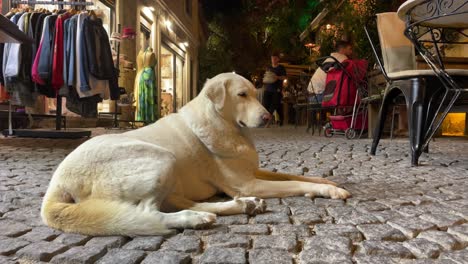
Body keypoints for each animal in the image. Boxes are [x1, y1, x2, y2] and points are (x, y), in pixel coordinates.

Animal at [41, 73, 352, 236]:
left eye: (255, 94)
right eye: (242, 95)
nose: (267, 117)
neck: (226, 126)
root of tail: (58, 180)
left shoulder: (252, 173)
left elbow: (295, 175)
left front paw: (328, 182)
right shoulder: (247, 182)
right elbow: (293, 183)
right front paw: (328, 191)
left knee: (185, 203)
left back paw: (242, 207)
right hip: (161, 158)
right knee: (149, 212)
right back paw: (193, 219)